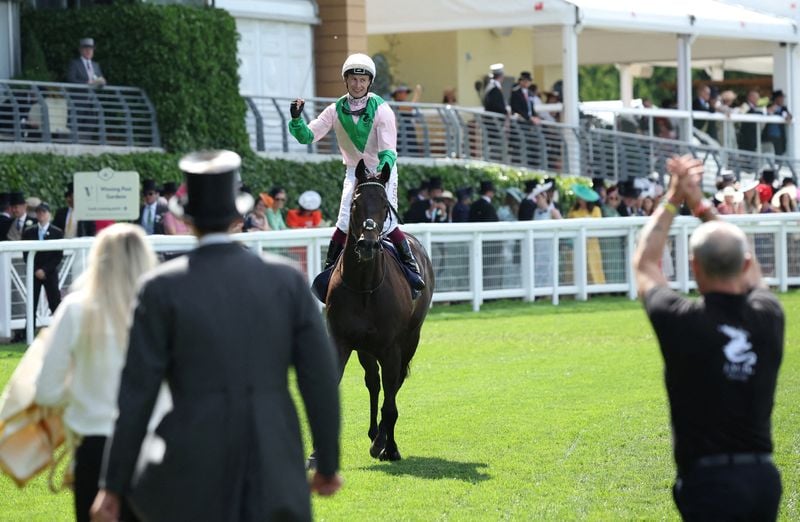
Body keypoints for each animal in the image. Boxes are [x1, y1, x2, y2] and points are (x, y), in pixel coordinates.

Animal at [325, 159, 434, 461]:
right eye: (355, 203)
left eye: (385, 205)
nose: (368, 244)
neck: (364, 286)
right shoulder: (341, 341)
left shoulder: (391, 348)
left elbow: (391, 399)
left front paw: (389, 447)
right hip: (365, 348)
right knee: (374, 382)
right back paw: (375, 433)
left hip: (410, 339)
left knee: (392, 386)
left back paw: (382, 439)